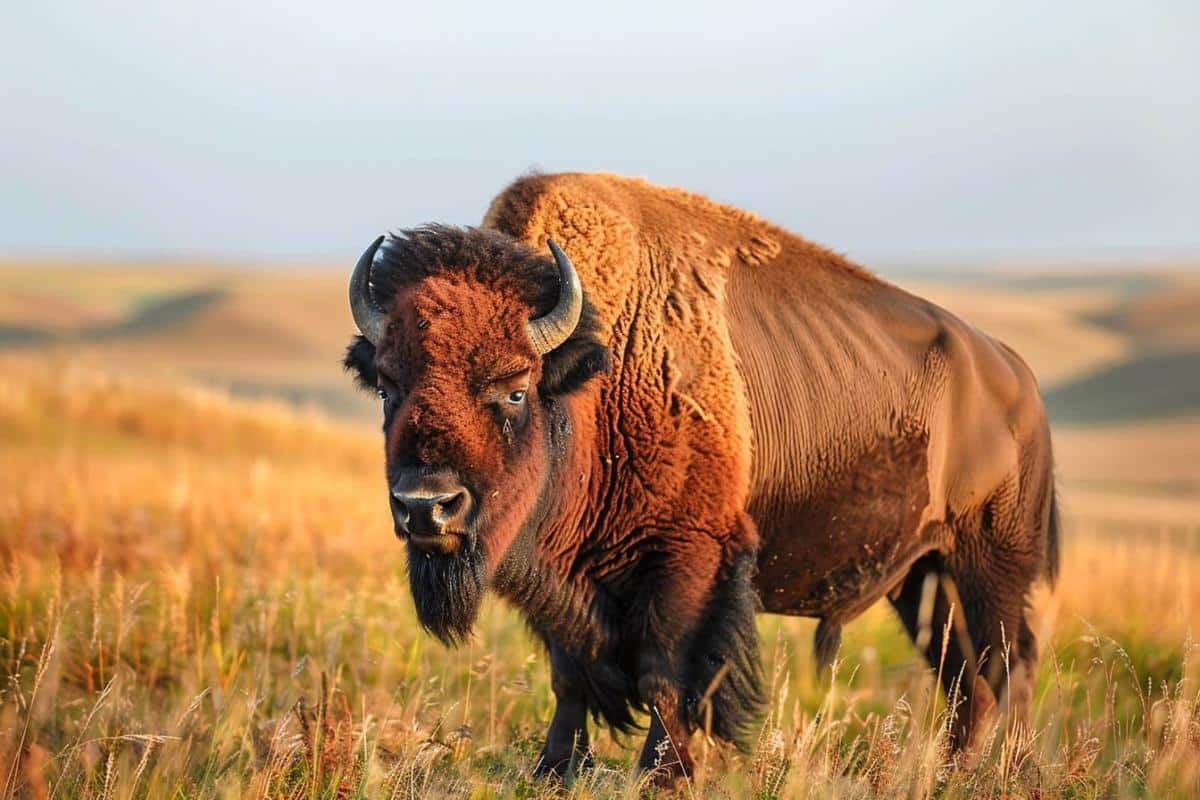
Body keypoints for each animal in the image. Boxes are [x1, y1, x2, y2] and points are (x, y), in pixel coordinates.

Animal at [343, 173, 1058, 782]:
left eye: (514, 388)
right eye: (386, 384)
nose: (426, 507)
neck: (595, 377)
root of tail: (1017, 377)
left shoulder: (688, 557)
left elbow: (665, 674)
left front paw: (664, 774)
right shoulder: (560, 582)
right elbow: (570, 675)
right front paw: (554, 768)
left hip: (991, 561)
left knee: (1008, 661)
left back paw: (1010, 771)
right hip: (922, 576)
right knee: (965, 676)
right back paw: (954, 772)